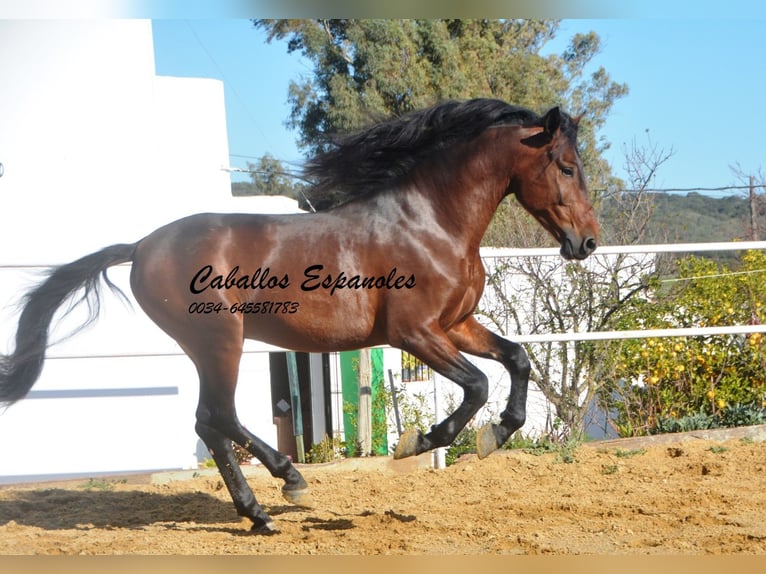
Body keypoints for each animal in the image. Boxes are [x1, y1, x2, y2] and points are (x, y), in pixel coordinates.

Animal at [0, 99, 600, 536]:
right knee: (218, 417)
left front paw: (495, 435)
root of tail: (143, 246)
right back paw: (285, 484)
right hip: (221, 339)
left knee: (209, 422)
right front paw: (418, 444)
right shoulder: (414, 333)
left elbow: (516, 359)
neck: (430, 222)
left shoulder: (455, 326)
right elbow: (476, 385)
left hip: (210, 345)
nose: (587, 243)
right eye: (567, 167)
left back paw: (263, 511)